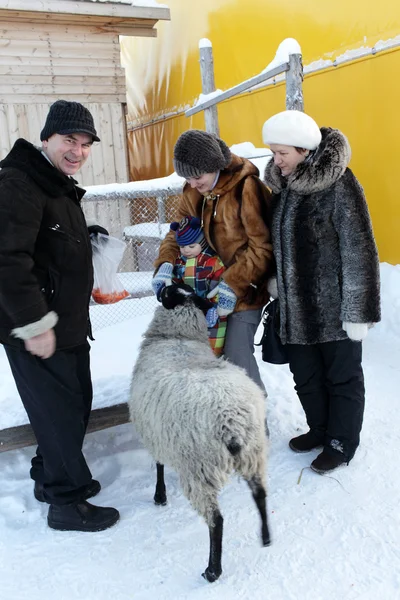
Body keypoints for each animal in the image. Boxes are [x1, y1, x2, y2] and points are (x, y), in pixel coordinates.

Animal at [130, 284, 270, 584]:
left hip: (199, 469)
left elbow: (158, 465)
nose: (162, 284)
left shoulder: (154, 433)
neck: (178, 340)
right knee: (261, 494)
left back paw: (212, 570)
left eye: (169, 292)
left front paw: (160, 496)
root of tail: (232, 421)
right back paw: (266, 536)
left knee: (216, 521)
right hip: (253, 453)